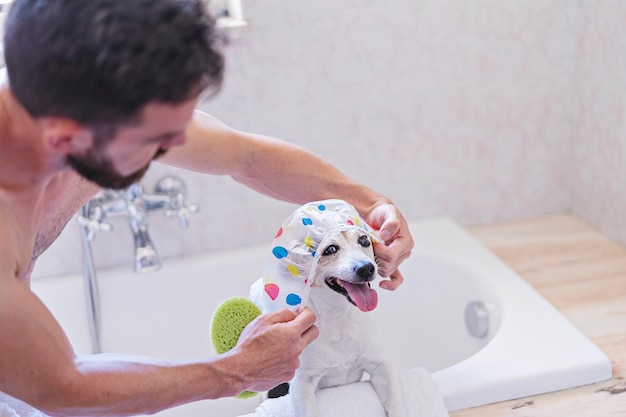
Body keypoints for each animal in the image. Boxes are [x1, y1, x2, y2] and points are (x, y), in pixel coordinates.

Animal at [249, 199, 404, 416]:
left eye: (364, 241)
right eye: (330, 250)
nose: (366, 268)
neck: (340, 320)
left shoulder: (381, 366)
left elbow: (395, 402)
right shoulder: (302, 385)